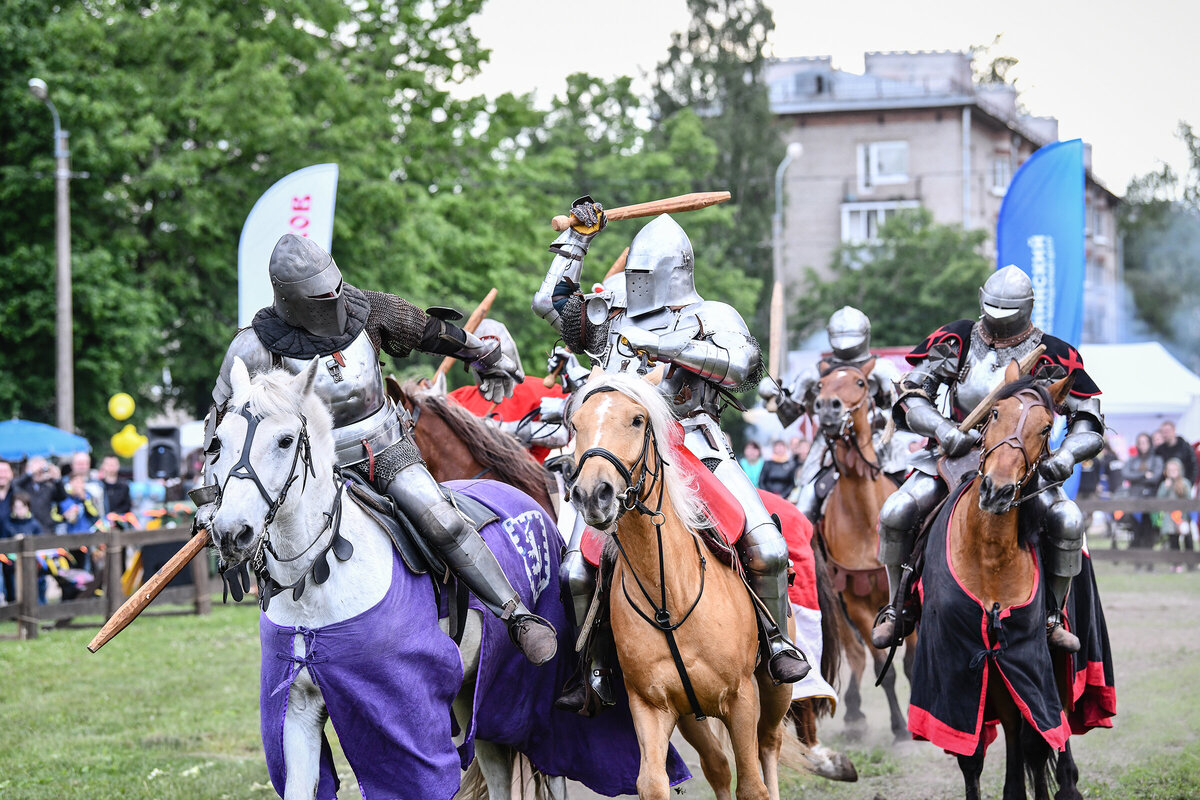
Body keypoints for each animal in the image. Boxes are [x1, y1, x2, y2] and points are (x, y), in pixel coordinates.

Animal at [564, 371, 792, 800]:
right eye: (575, 425)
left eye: (637, 420)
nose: (591, 495)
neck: (668, 597)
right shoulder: (652, 707)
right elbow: (652, 783)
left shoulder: (742, 698)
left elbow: (752, 785)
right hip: (692, 716)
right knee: (717, 765)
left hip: (774, 690)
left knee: (769, 746)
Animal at [811, 359, 912, 743]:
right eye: (820, 384)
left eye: (859, 382)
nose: (827, 407)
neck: (867, 520)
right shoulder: (856, 602)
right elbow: (881, 662)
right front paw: (900, 727)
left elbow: (909, 661)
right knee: (854, 652)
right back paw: (854, 713)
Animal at [907, 362, 1089, 800]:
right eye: (993, 413)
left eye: (1046, 428)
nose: (997, 490)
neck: (988, 554)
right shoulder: (959, 663)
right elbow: (972, 756)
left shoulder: (1028, 656)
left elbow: (1038, 741)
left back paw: (1067, 783)